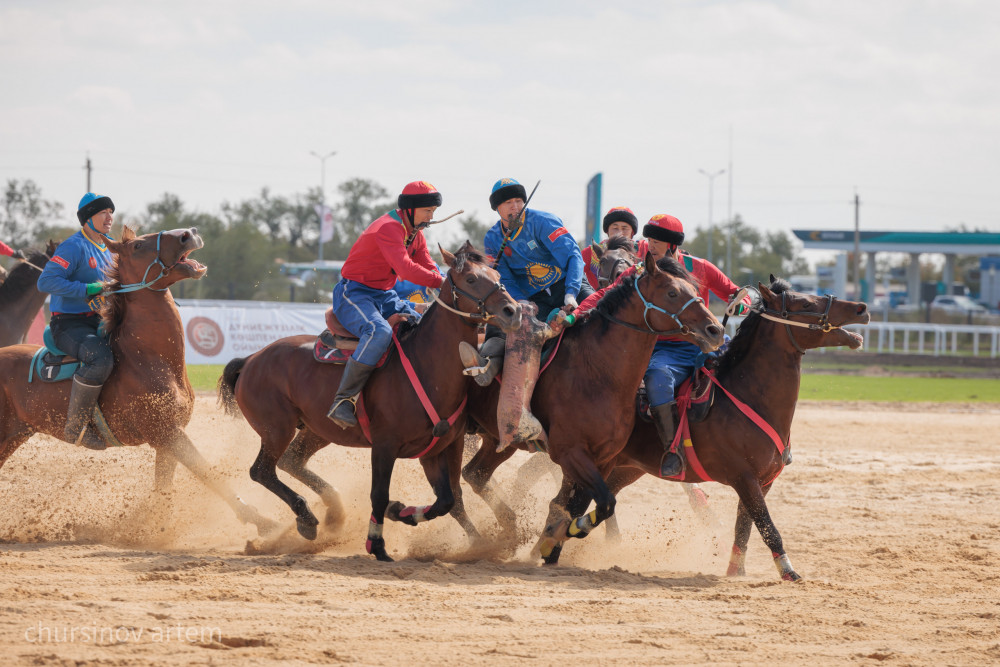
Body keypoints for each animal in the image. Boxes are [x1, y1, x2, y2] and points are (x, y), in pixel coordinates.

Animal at [0, 227, 274, 540]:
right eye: (139, 245)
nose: (189, 233)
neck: (148, 359)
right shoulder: (168, 432)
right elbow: (208, 473)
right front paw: (261, 520)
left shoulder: (167, 440)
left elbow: (165, 488)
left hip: (15, 435)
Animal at [215, 243, 520, 560]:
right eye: (471, 279)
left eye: (498, 275)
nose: (513, 310)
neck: (426, 364)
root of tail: (251, 359)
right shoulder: (385, 445)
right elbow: (380, 494)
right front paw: (377, 543)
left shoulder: (443, 446)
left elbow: (447, 499)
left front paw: (402, 512)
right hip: (276, 429)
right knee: (261, 470)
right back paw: (307, 518)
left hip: (317, 430)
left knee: (291, 461)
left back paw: (332, 513)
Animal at [458, 253, 724, 556]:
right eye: (672, 292)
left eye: (694, 290)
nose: (716, 330)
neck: (597, 374)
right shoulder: (571, 454)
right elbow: (601, 503)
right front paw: (564, 534)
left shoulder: (603, 459)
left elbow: (578, 505)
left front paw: (553, 540)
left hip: (498, 440)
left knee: (475, 474)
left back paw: (510, 528)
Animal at [544, 276, 872, 580]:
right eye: (804, 303)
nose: (861, 307)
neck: (745, 395)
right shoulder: (745, 479)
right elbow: (768, 527)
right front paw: (788, 571)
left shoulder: (762, 483)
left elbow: (745, 528)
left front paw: (736, 571)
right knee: (569, 504)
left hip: (622, 468)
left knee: (572, 503)